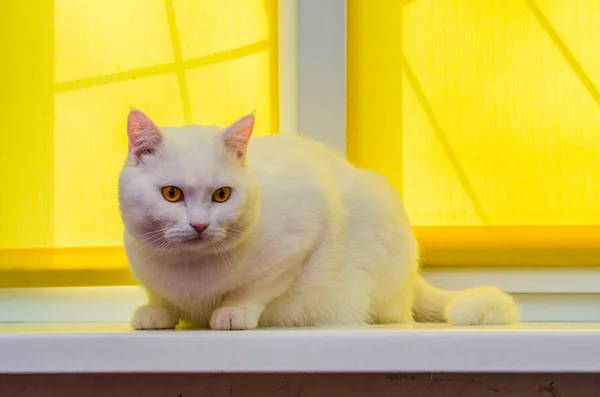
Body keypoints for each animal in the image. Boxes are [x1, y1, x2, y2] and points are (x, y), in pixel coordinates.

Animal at [119, 110, 516, 330]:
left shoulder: (299, 241)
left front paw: (232, 312)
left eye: (221, 195)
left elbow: (256, 288)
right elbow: (159, 296)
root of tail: (411, 278)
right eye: (172, 194)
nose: (200, 225)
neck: (191, 274)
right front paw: (157, 312)